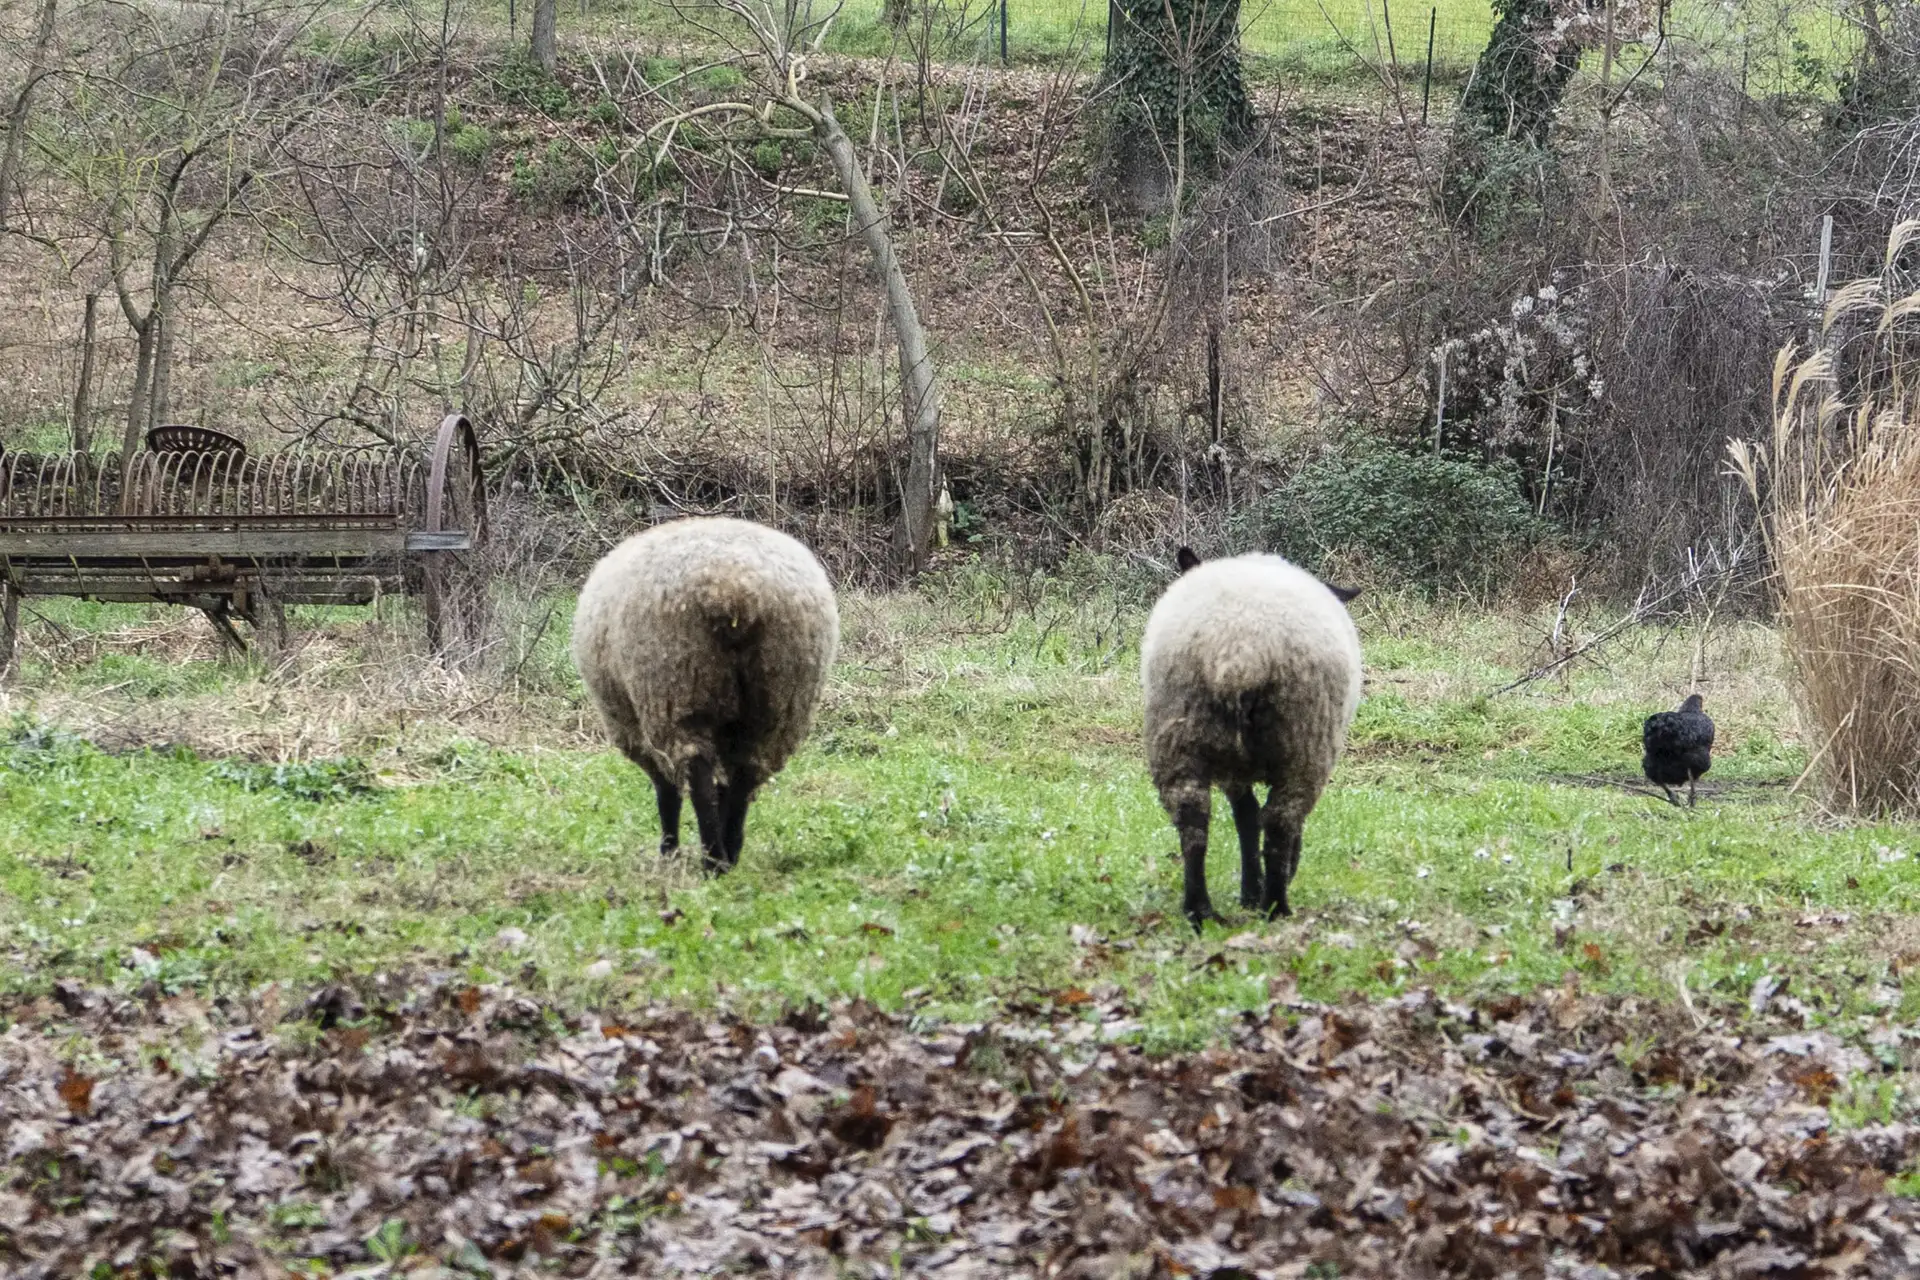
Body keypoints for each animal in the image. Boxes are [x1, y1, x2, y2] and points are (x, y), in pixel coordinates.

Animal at [571, 517, 839, 873]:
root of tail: (734, 590)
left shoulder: (634, 728)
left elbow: (667, 791)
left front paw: (668, 850)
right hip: (780, 702)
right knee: (743, 777)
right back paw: (729, 853)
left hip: (676, 692)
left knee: (697, 780)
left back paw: (712, 860)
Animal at [1141, 546, 1363, 929]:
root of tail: (1239, 650)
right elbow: (1258, 819)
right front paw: (1267, 883)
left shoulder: (1233, 771)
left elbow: (1245, 818)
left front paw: (1248, 889)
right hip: (1305, 741)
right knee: (1281, 820)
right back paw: (1275, 905)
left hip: (1179, 731)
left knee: (1192, 819)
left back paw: (1199, 910)